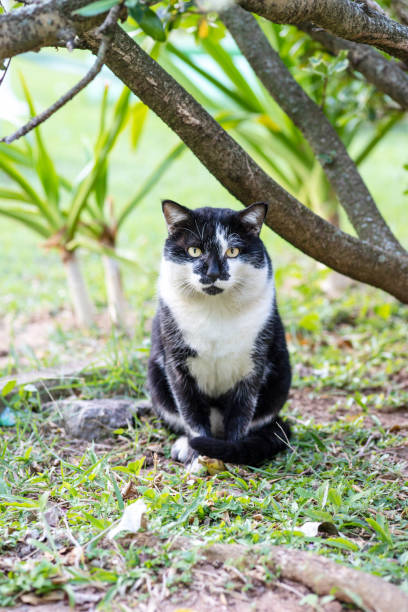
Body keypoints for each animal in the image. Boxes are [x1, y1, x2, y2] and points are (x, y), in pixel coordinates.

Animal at [148, 201, 292, 468]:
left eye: (233, 251)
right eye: (194, 250)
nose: (213, 273)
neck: (215, 312)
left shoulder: (252, 367)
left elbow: (241, 414)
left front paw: (233, 455)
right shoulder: (177, 365)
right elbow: (191, 413)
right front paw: (197, 455)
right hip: (156, 379)